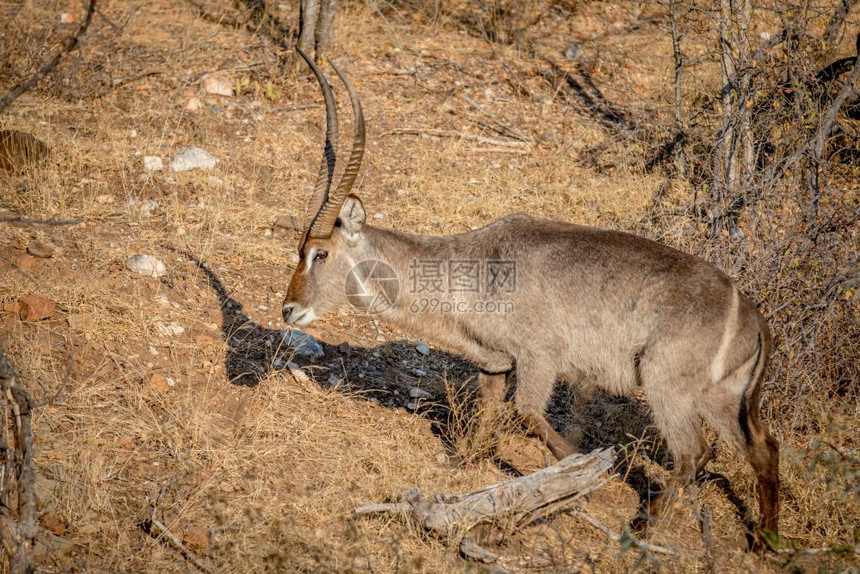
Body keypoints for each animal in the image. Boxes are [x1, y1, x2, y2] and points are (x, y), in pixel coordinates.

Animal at [282, 49, 780, 544]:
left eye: (320, 252)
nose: (289, 309)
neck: (471, 265)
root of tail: (753, 317)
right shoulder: (495, 362)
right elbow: (486, 411)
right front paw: (462, 463)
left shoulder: (540, 356)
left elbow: (527, 415)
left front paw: (585, 476)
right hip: (720, 397)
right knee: (763, 447)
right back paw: (765, 541)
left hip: (664, 385)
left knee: (693, 453)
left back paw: (642, 526)